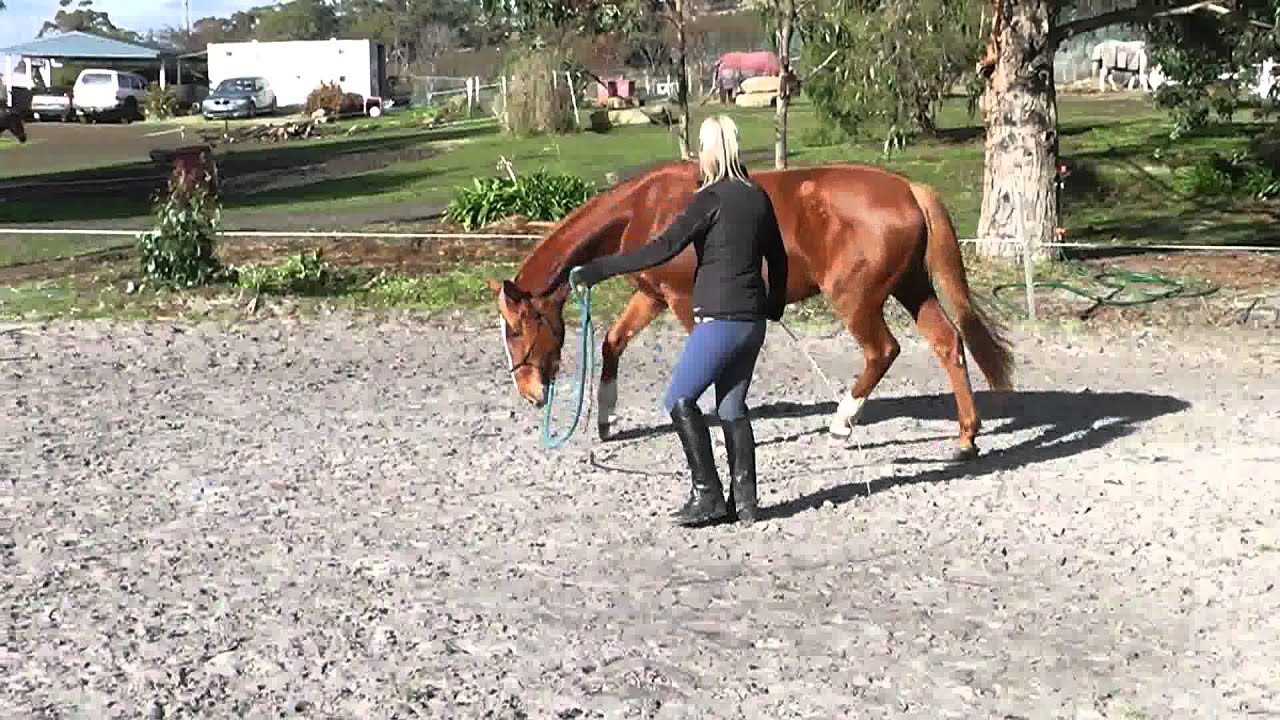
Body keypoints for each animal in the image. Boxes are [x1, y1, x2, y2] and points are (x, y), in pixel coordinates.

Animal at [486, 160, 1015, 460]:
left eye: (514, 331)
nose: (529, 392)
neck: (648, 208)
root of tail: (907, 188)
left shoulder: (684, 302)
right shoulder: (652, 296)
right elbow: (612, 345)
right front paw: (605, 419)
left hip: (856, 298)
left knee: (882, 351)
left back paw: (841, 423)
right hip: (911, 287)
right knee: (948, 343)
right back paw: (966, 439)